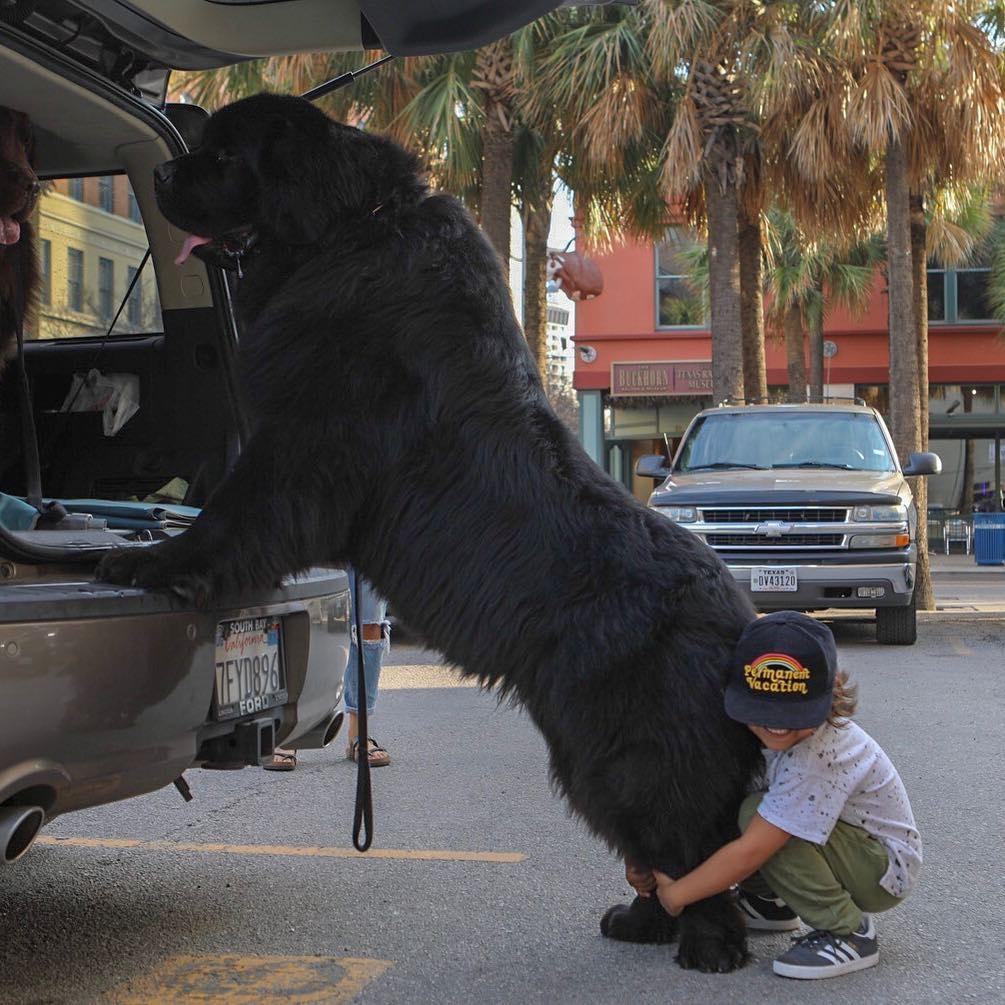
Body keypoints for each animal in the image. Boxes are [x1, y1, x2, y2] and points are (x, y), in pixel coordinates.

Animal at [99, 95, 759, 972]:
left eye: (227, 154)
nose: (166, 171)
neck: (350, 226)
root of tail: (739, 618)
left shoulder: (302, 447)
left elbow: (232, 517)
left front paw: (150, 563)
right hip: (595, 749)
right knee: (661, 844)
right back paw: (645, 919)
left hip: (631, 747)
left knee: (693, 839)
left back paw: (707, 944)